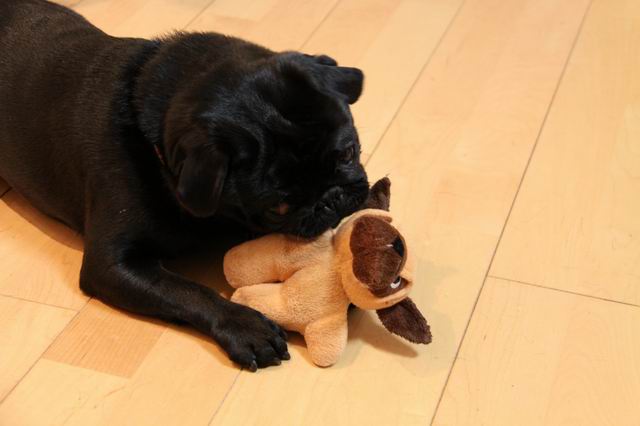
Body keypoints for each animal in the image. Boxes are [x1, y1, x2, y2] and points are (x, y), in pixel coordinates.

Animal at [0, 0, 369, 371]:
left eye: (349, 152)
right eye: (277, 208)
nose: (331, 199)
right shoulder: (111, 265)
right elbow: (186, 291)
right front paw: (245, 326)